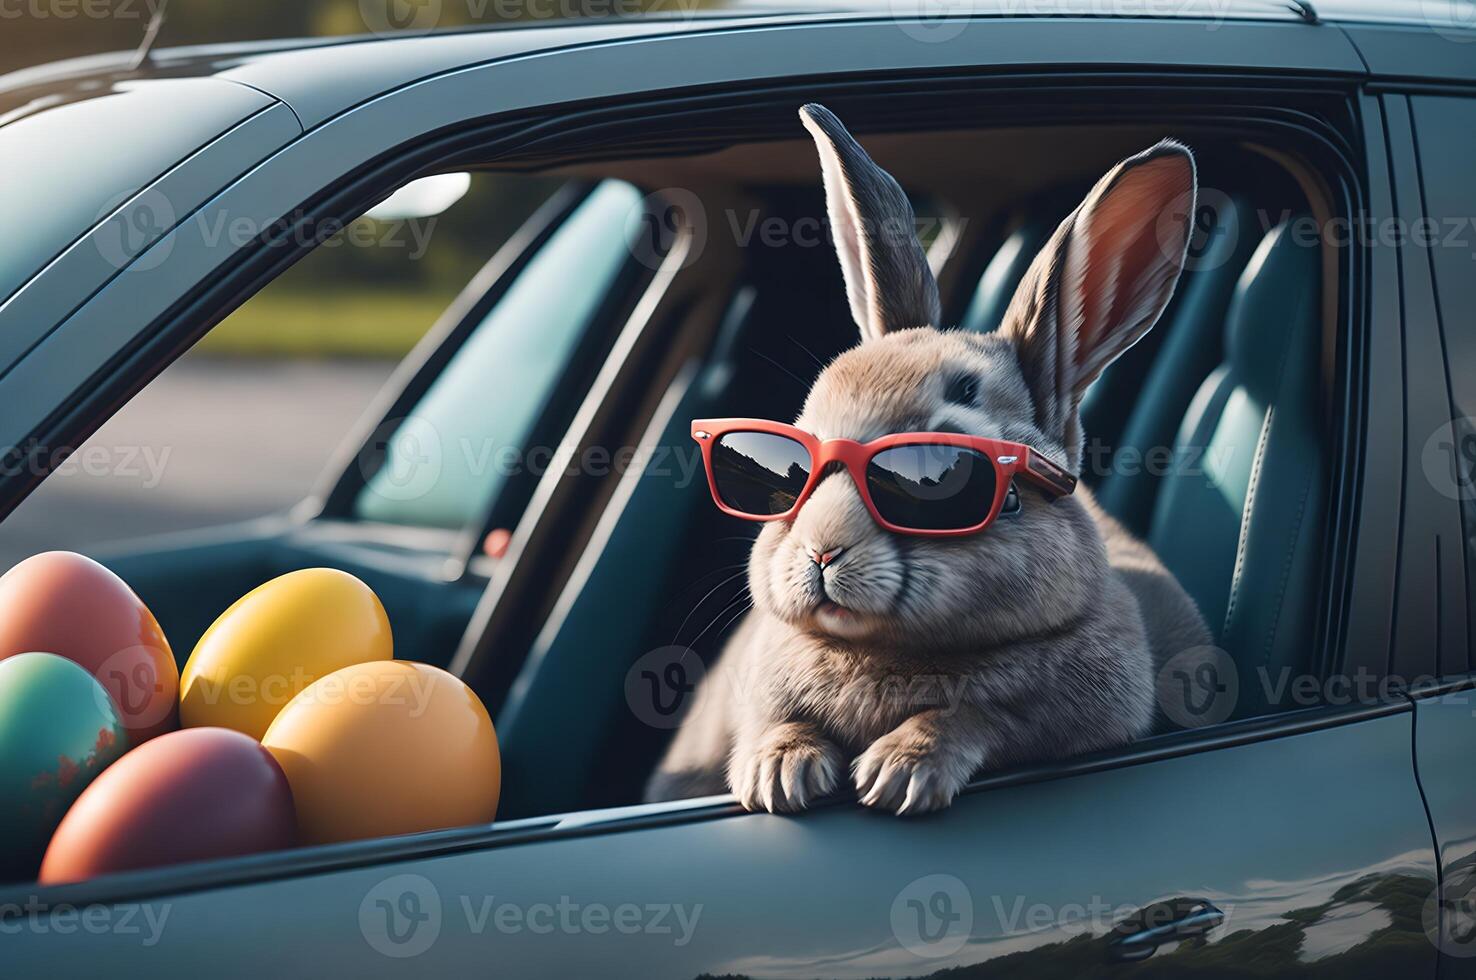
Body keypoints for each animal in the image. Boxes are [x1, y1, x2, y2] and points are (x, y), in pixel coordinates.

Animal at [646, 103, 1210, 814]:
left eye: (944, 481)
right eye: (795, 469)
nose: (823, 553)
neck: (880, 650)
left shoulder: (1074, 713)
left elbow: (977, 717)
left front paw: (898, 773)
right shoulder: (762, 697)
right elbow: (775, 722)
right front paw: (781, 774)